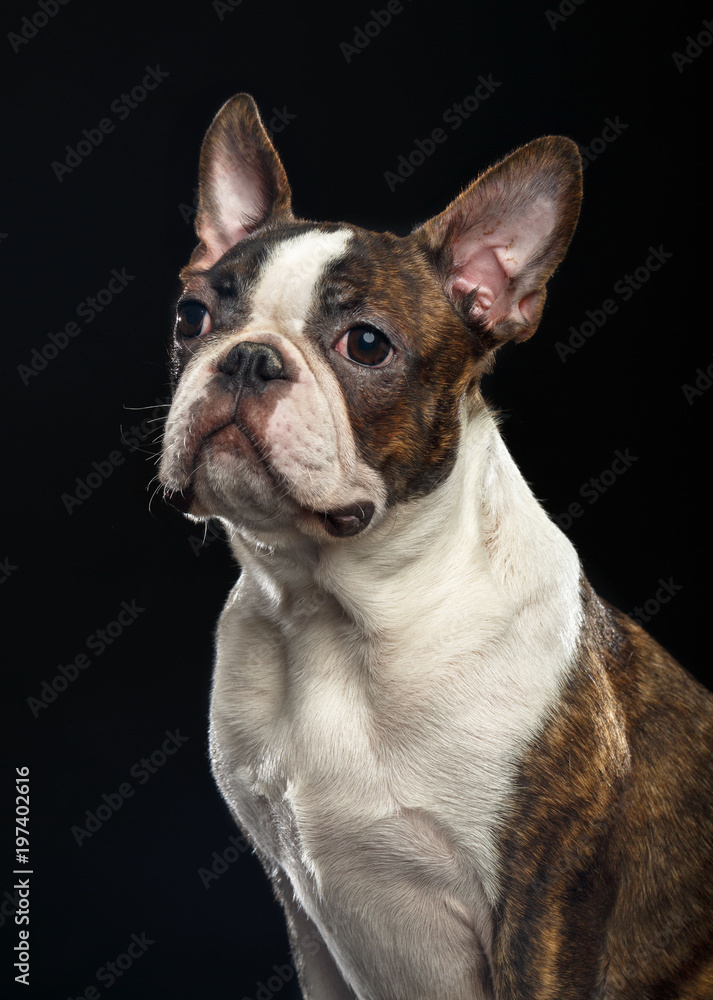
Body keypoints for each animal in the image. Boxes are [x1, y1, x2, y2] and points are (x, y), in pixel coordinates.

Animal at [161, 95, 712, 1000]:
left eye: (366, 344)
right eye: (192, 318)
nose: (246, 359)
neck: (338, 615)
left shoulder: (541, 909)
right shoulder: (301, 907)